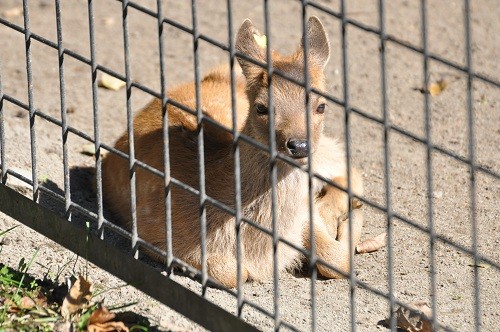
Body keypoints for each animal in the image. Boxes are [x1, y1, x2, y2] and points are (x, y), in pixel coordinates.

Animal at [101, 16, 366, 288]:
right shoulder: (152, 230)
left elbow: (338, 261)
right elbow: (233, 272)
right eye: (261, 107)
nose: (299, 145)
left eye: (321, 105)